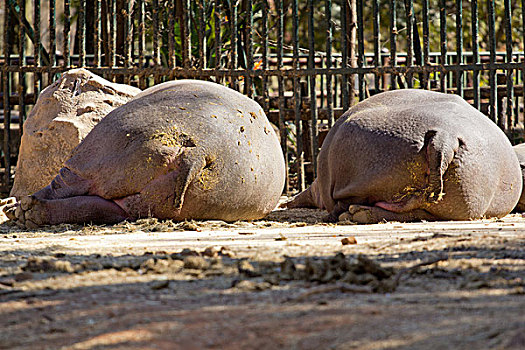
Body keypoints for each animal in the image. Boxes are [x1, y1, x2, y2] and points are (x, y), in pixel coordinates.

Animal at [284, 89, 520, 223]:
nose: (288, 203)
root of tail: (446, 136)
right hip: (458, 203)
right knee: (415, 211)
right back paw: (359, 214)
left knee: (343, 203)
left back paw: (348, 214)